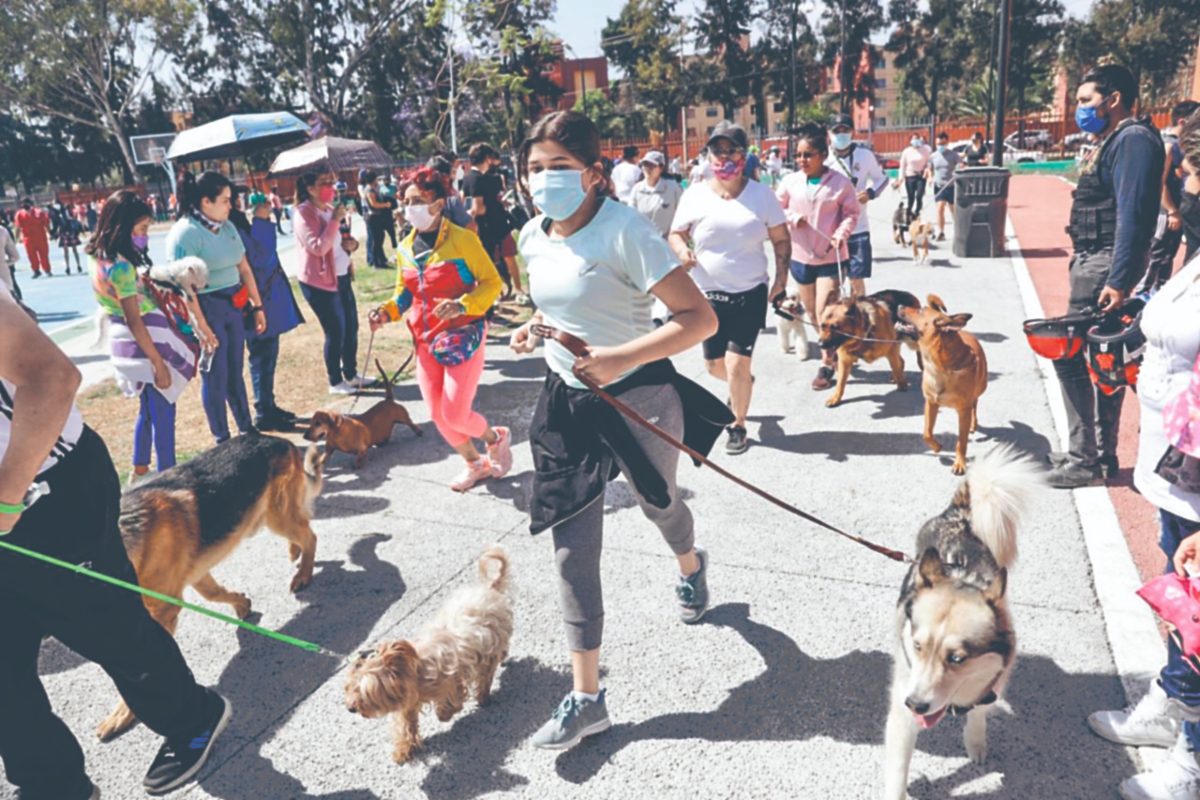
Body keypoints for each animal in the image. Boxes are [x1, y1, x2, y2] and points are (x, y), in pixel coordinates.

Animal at [95, 434, 324, 743]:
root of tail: (279, 440)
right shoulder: (197, 574)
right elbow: (214, 593)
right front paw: (241, 603)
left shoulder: (163, 611)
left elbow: (145, 671)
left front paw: (123, 713)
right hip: (269, 517)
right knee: (303, 526)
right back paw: (294, 554)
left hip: (278, 517)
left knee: (310, 535)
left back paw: (304, 573)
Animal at [348, 551, 516, 762]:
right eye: (350, 687)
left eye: (366, 691)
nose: (350, 708)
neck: (414, 670)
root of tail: (489, 587)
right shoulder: (408, 703)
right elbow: (406, 725)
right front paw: (404, 749)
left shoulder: (451, 679)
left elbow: (451, 700)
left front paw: (445, 714)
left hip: (491, 645)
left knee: (488, 672)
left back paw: (484, 696)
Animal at [883, 443, 1041, 800]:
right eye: (917, 646)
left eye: (958, 658)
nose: (915, 704)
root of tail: (961, 514)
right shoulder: (902, 707)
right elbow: (897, 769)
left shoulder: (993, 683)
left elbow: (979, 714)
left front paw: (976, 741)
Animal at [897, 296, 988, 474]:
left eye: (920, 311)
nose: (899, 305)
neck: (941, 369)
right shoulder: (931, 403)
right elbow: (926, 433)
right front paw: (937, 446)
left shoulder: (963, 411)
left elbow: (962, 441)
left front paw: (959, 463)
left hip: (980, 389)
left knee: (975, 404)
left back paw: (973, 423)